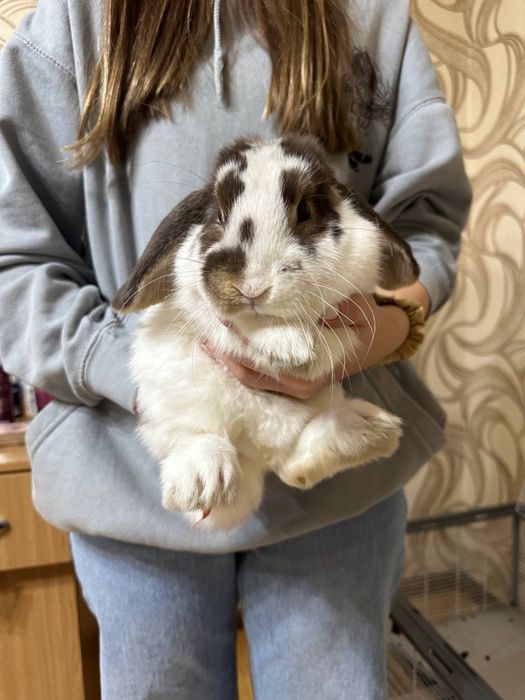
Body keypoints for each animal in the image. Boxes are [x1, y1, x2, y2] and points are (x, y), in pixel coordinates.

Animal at [112, 134, 420, 530]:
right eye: (219, 215)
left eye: (305, 211)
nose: (251, 288)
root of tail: (257, 452)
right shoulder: (199, 301)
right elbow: (227, 321)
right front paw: (287, 345)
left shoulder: (352, 299)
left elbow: (332, 336)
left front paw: (301, 352)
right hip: (167, 401)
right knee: (188, 438)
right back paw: (202, 478)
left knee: (296, 467)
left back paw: (368, 431)